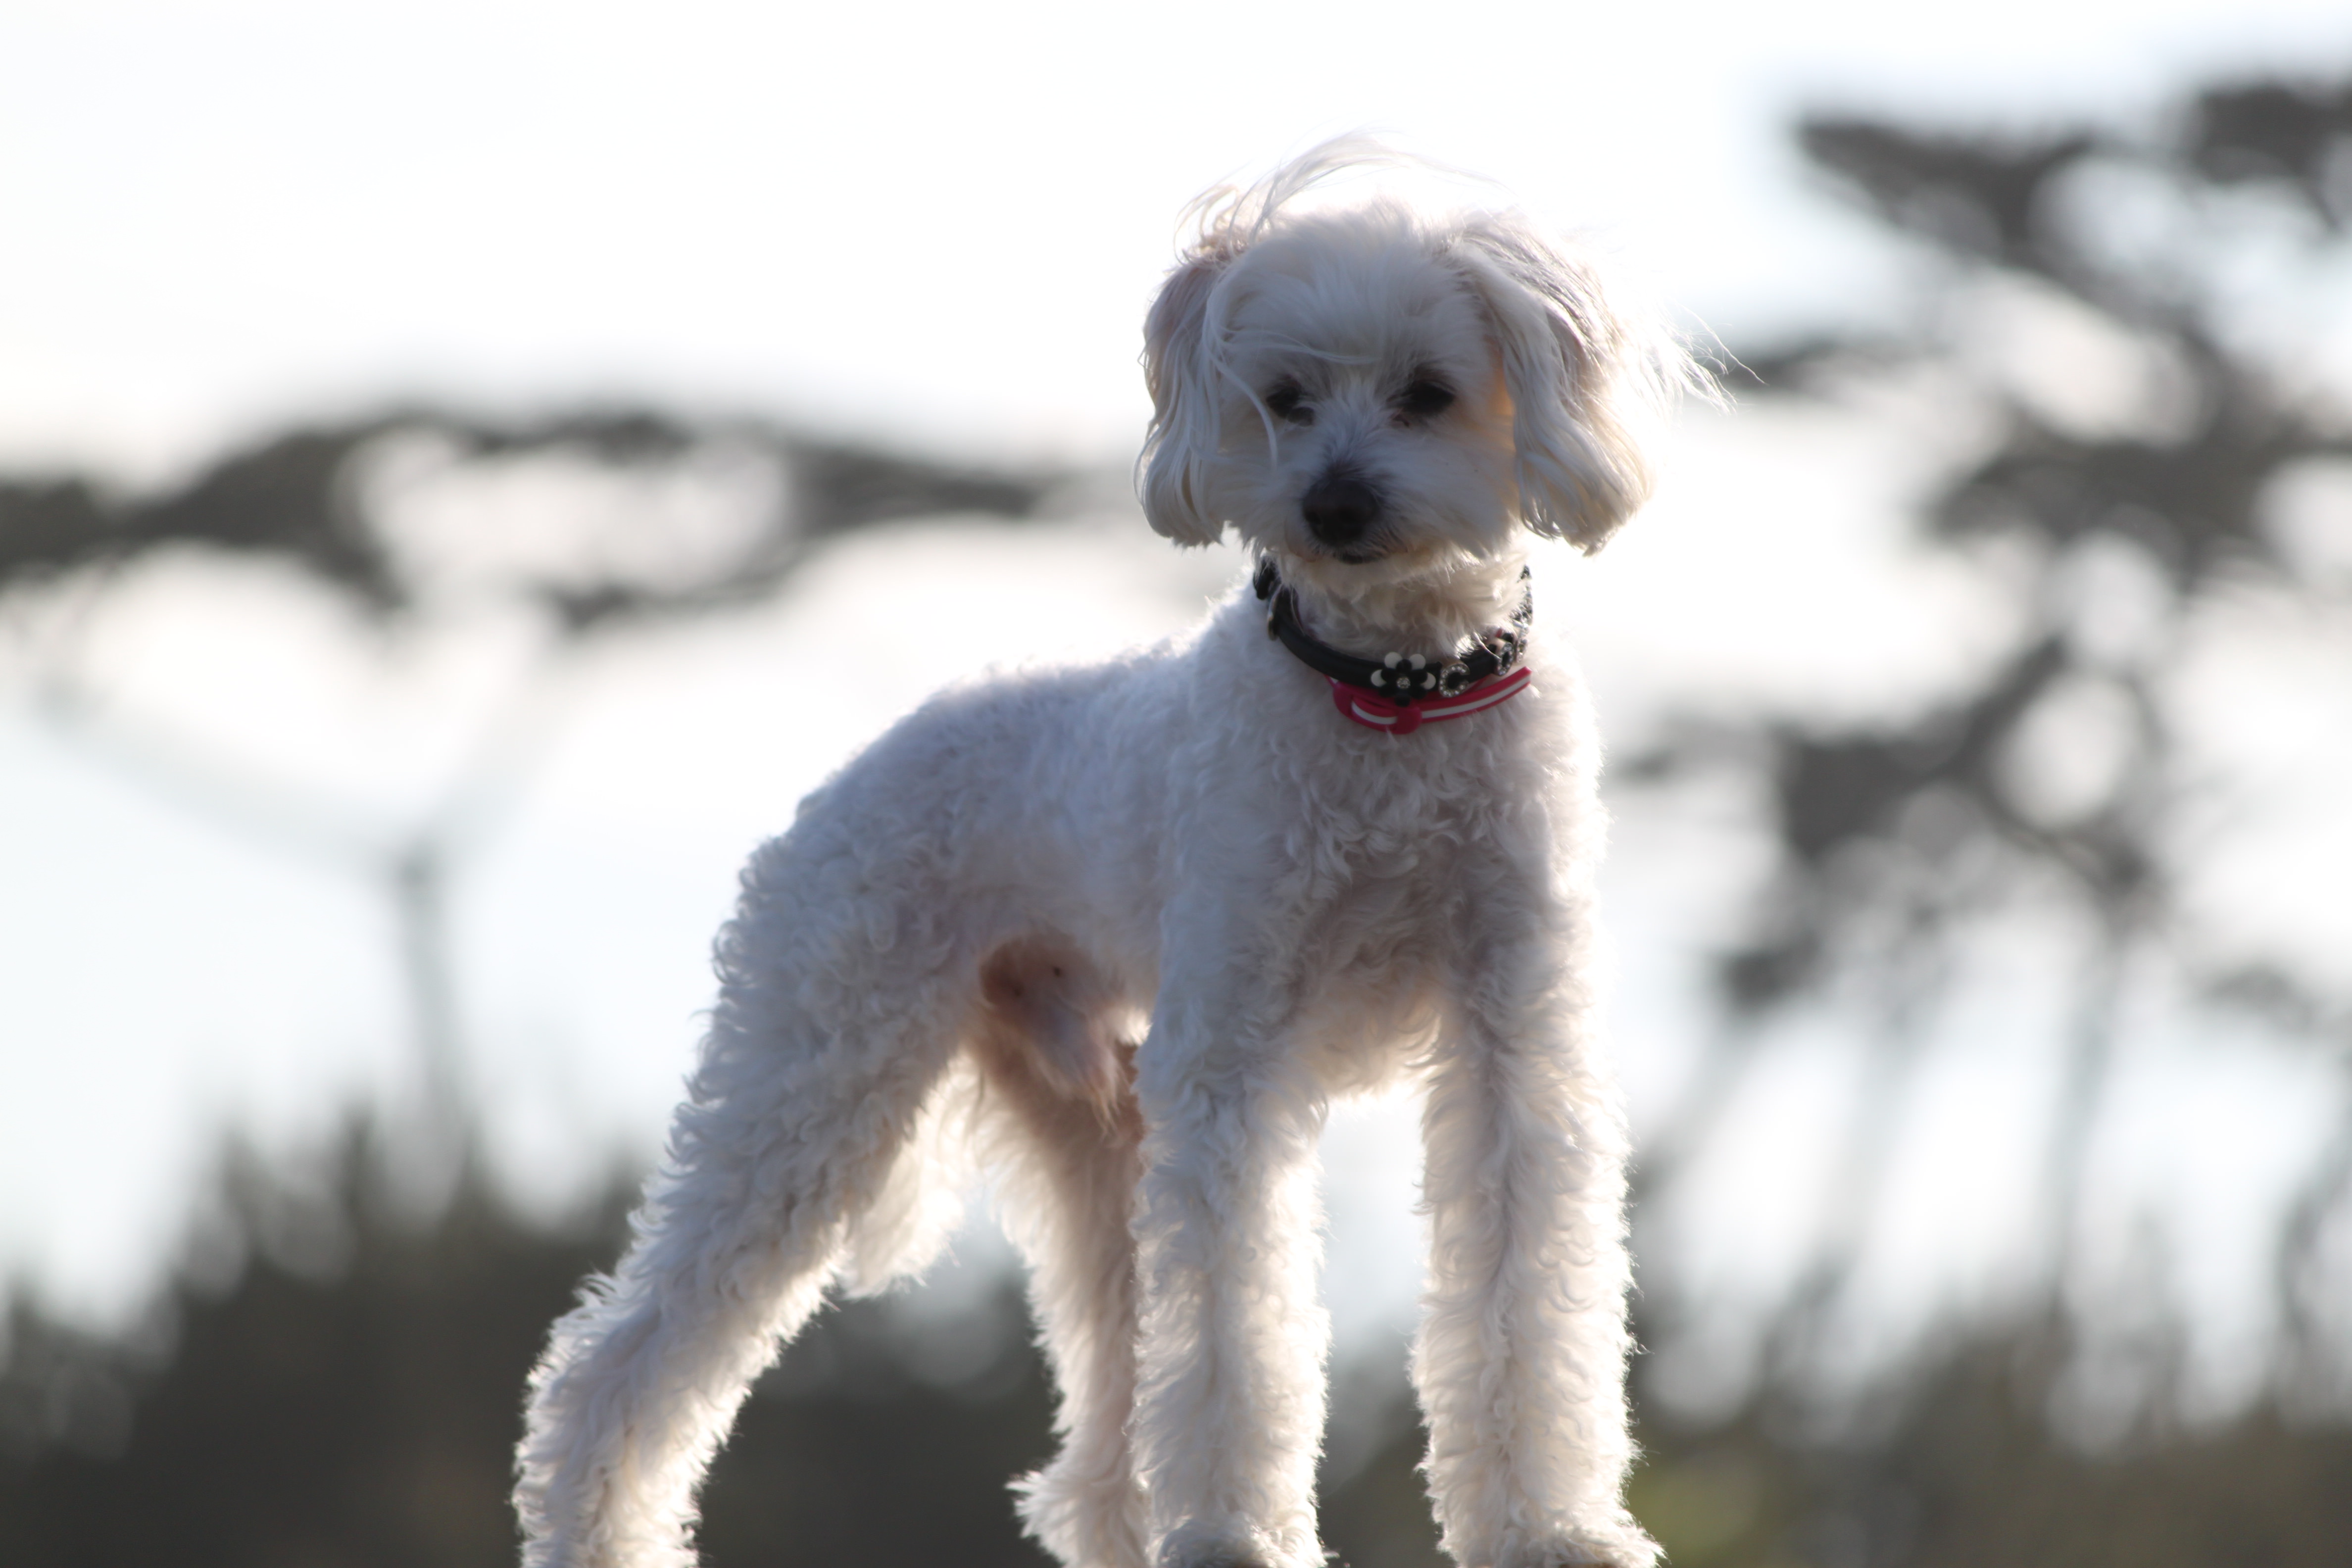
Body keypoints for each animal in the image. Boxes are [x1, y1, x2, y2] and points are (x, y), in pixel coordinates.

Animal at [515, 141, 1691, 1568]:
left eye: (1429, 393)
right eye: (1284, 399)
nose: (1333, 504)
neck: (1392, 695)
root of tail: (845, 782)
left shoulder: (1514, 1039)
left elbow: (1529, 1295)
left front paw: (1548, 1527)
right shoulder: (1230, 1060)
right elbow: (1239, 1323)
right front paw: (1238, 1535)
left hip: (1091, 1140)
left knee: (1101, 1445)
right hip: (817, 1074)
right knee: (618, 1366)